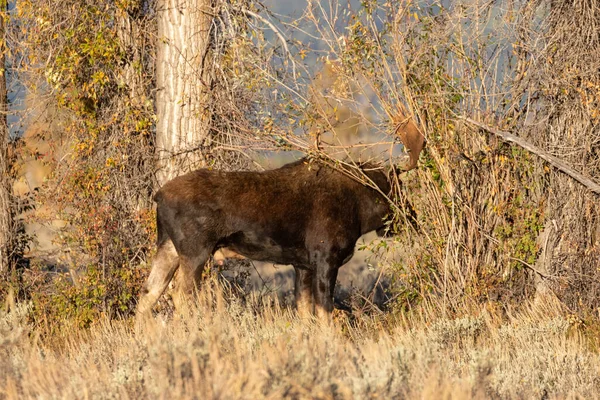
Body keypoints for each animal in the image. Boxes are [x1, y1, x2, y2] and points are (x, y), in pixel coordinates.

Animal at [138, 117, 424, 318]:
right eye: (396, 189)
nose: (411, 219)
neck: (357, 212)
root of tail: (159, 196)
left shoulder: (303, 265)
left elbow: (305, 312)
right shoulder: (325, 259)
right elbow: (325, 312)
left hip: (168, 247)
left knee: (148, 294)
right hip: (195, 250)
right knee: (179, 296)